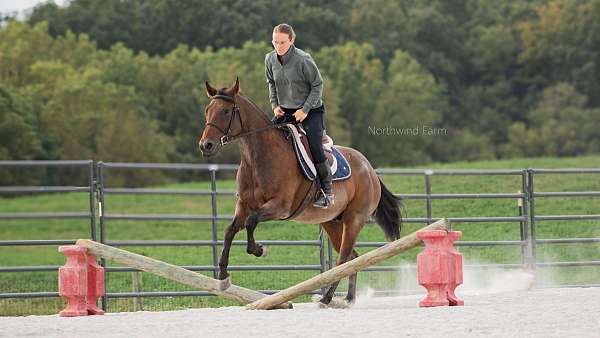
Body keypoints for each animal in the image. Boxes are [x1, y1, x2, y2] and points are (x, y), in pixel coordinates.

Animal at [198, 79, 404, 306]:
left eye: (226, 111)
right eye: (208, 110)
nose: (205, 145)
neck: (258, 158)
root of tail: (370, 169)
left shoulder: (280, 206)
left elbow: (252, 222)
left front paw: (259, 249)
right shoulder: (243, 205)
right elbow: (230, 230)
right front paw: (223, 275)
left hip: (354, 219)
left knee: (344, 257)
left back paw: (327, 297)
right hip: (332, 222)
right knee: (351, 257)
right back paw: (348, 298)